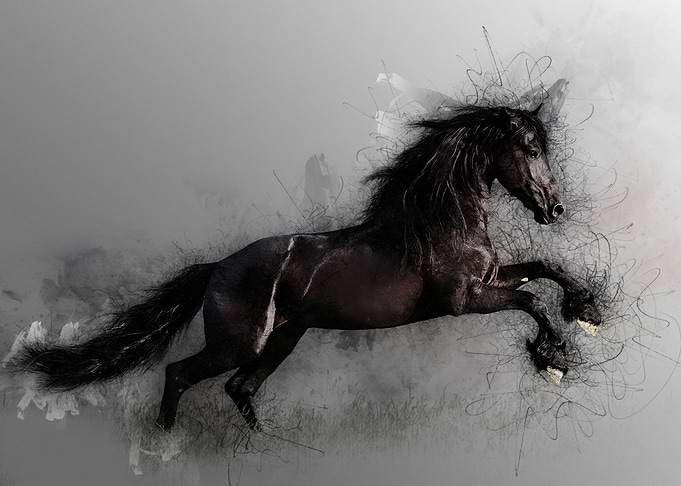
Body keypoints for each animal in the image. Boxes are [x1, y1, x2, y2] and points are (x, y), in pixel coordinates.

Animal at [10, 104, 603, 432]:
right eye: (529, 149)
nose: (554, 209)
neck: (439, 221)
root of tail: (217, 267)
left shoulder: (488, 279)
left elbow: (544, 268)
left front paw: (588, 313)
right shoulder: (465, 301)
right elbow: (529, 298)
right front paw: (554, 358)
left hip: (284, 338)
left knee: (241, 390)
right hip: (241, 342)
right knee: (182, 374)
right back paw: (165, 443)